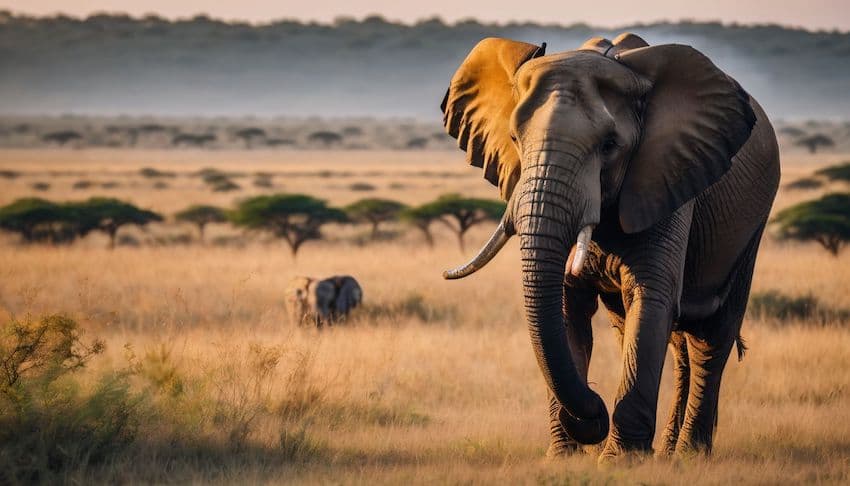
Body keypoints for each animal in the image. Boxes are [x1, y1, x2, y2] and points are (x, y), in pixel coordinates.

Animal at [440, 34, 780, 462]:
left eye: (609, 145)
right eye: (515, 139)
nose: (595, 414)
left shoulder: (667, 174)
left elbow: (651, 297)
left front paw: (622, 461)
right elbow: (566, 308)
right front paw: (563, 458)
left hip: (751, 224)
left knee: (710, 337)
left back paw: (689, 456)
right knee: (664, 339)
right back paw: (667, 453)